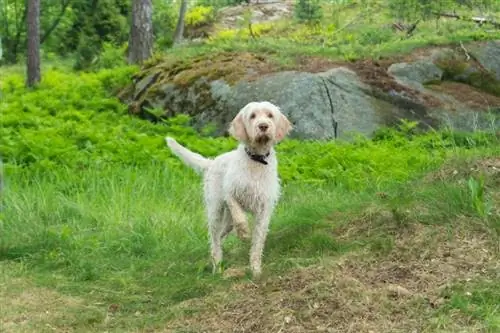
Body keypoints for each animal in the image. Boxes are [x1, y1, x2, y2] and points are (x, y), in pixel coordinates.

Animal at [166, 100, 292, 276]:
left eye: (270, 115)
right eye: (253, 116)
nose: (263, 126)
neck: (256, 161)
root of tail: (211, 162)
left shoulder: (264, 209)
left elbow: (258, 242)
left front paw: (255, 269)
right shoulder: (230, 195)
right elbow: (240, 217)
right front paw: (244, 233)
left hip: (227, 222)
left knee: (219, 236)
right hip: (215, 210)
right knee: (214, 238)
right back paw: (217, 264)